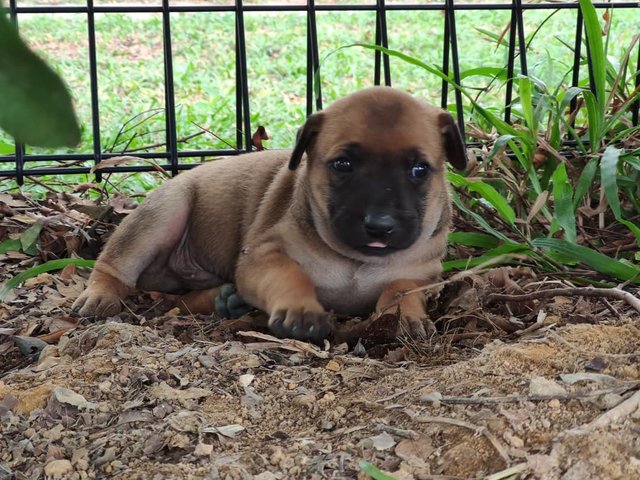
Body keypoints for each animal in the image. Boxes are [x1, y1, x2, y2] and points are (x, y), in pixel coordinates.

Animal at [74, 86, 464, 342]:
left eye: (419, 170)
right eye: (343, 165)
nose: (380, 226)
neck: (357, 260)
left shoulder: (421, 273)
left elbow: (401, 288)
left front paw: (404, 316)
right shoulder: (263, 257)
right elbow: (290, 275)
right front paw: (299, 309)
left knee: (183, 299)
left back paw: (225, 300)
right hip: (163, 214)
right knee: (115, 265)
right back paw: (100, 295)